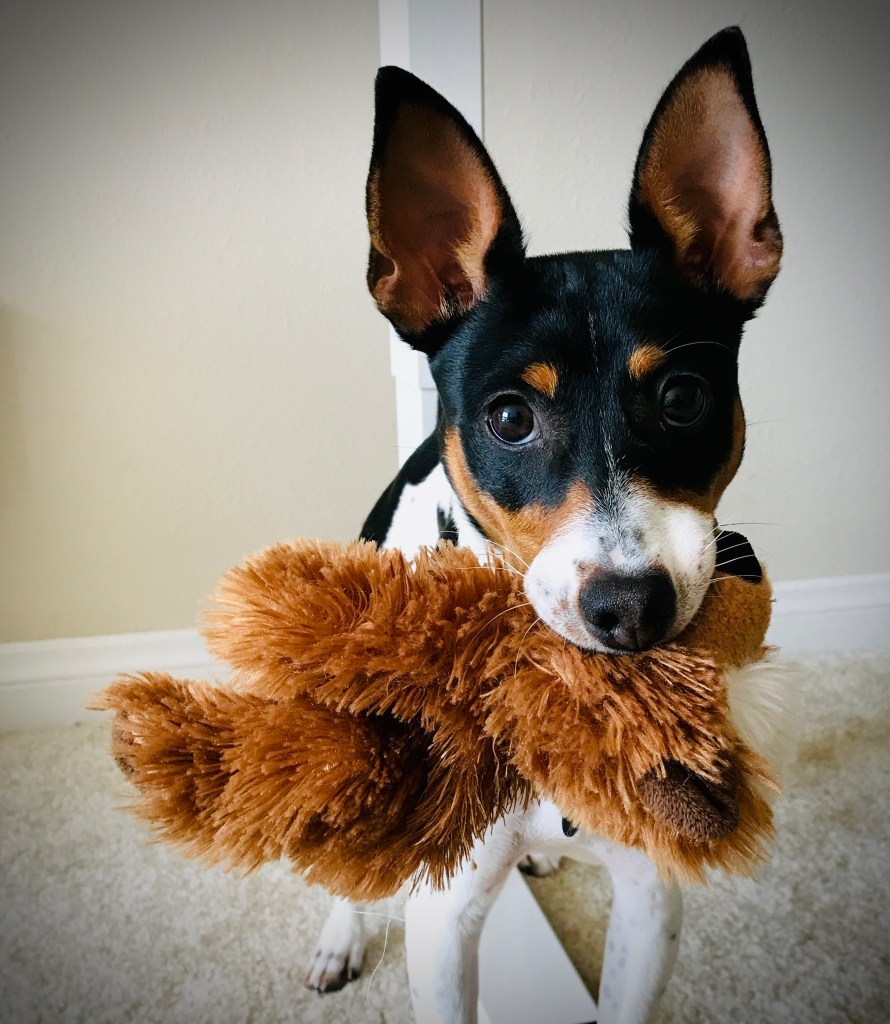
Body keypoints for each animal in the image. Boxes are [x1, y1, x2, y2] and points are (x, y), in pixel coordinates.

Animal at [303, 24, 778, 1024]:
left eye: (684, 398)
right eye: (511, 417)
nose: (630, 607)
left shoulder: (649, 898)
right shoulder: (444, 914)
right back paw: (340, 934)